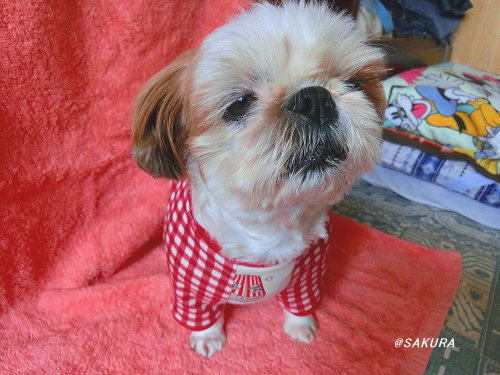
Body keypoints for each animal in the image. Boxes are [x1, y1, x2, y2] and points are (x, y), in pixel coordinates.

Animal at [131, 0, 384, 358]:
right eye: (239, 104)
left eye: (355, 84)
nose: (315, 98)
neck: (268, 227)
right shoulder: (190, 282)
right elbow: (199, 313)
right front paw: (208, 337)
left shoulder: (310, 270)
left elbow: (301, 302)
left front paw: (301, 326)